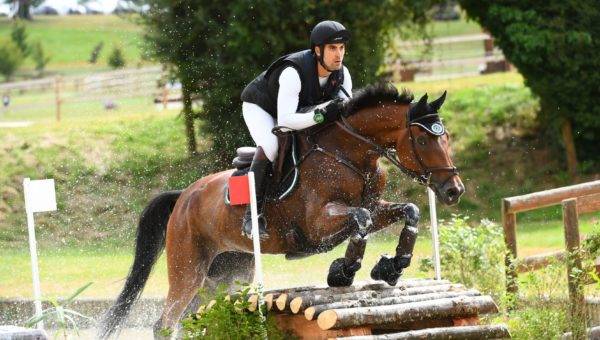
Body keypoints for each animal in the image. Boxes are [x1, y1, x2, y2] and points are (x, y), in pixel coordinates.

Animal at [98, 83, 464, 338]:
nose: (453, 191)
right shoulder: (319, 224)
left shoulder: (375, 207)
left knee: (195, 315)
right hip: (188, 268)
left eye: (446, 138)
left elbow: (409, 211)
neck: (350, 154)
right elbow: (360, 220)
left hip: (228, 272)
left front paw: (392, 266)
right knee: (165, 322)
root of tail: (184, 196)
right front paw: (343, 271)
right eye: (422, 141)